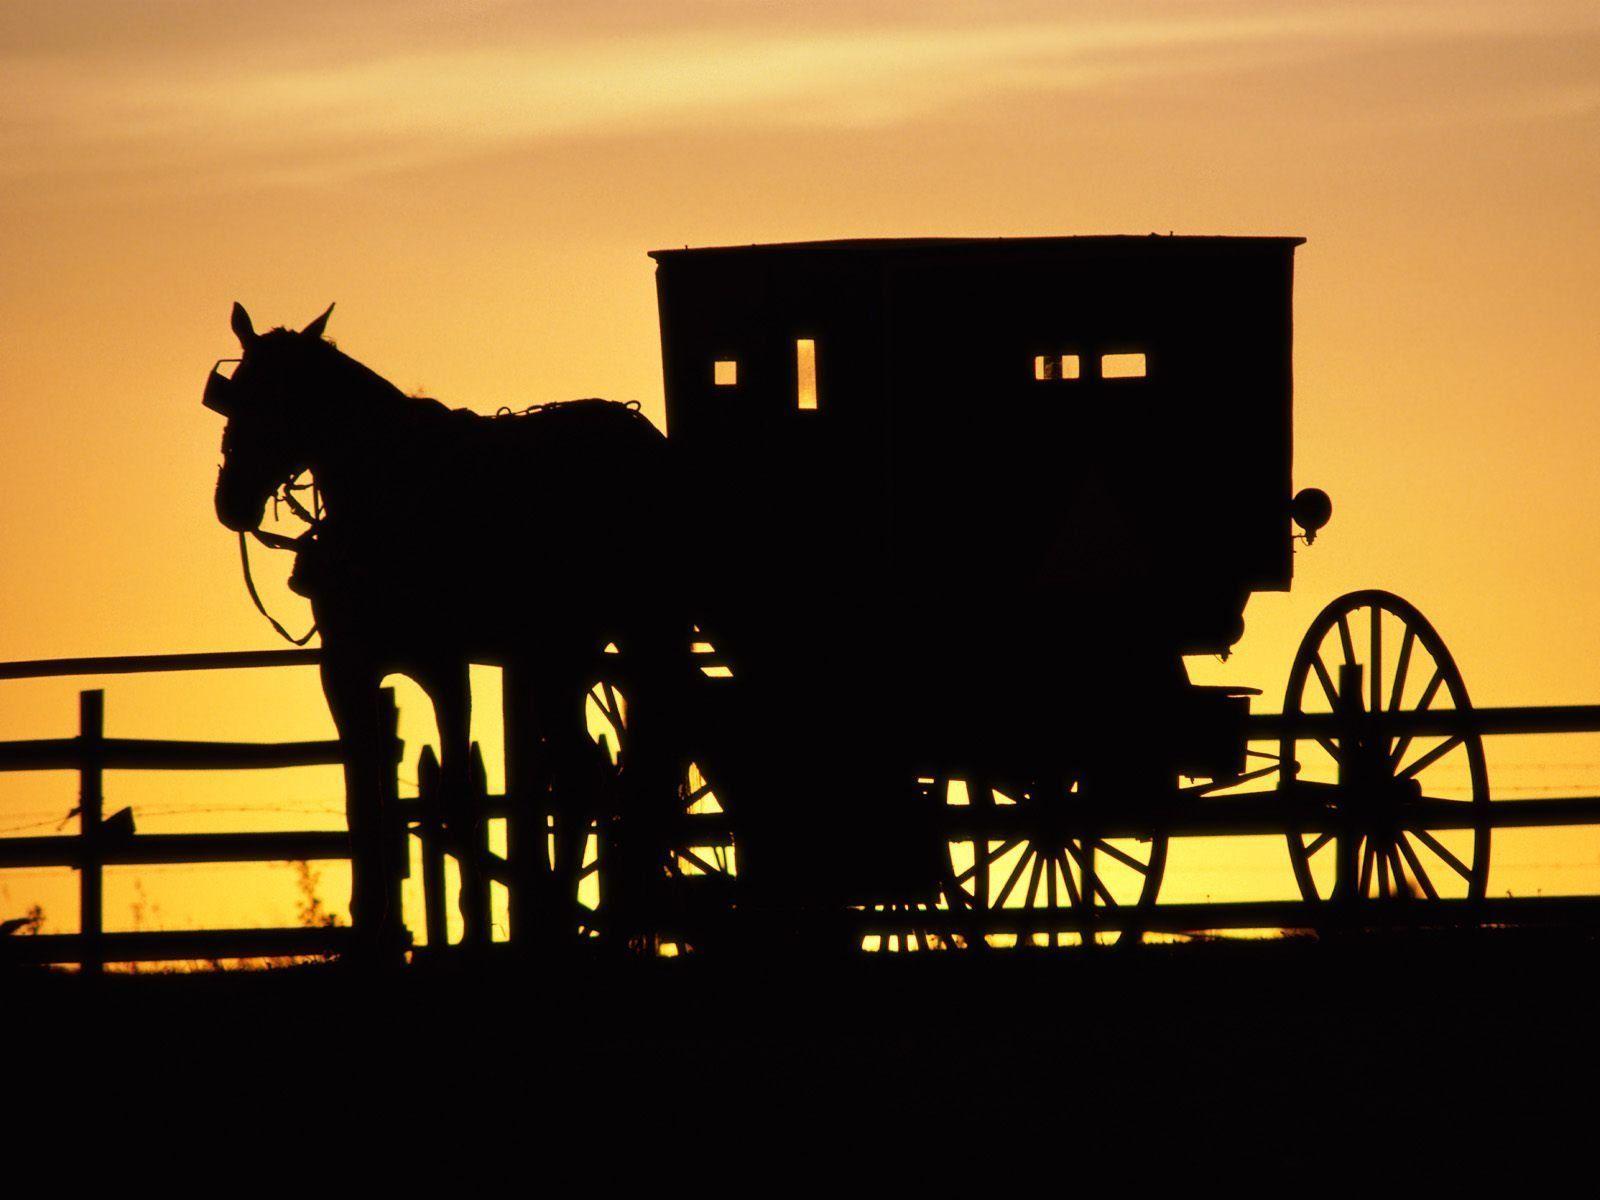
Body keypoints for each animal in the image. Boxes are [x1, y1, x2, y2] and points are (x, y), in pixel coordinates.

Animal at [206, 305, 694, 953]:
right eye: (235, 396)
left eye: (286, 398)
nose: (232, 502)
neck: (388, 492)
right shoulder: (346, 666)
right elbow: (362, 794)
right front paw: (372, 927)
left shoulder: (443, 663)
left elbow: (459, 797)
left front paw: (467, 932)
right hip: (574, 657)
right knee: (591, 776)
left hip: (607, 643)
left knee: (596, 778)